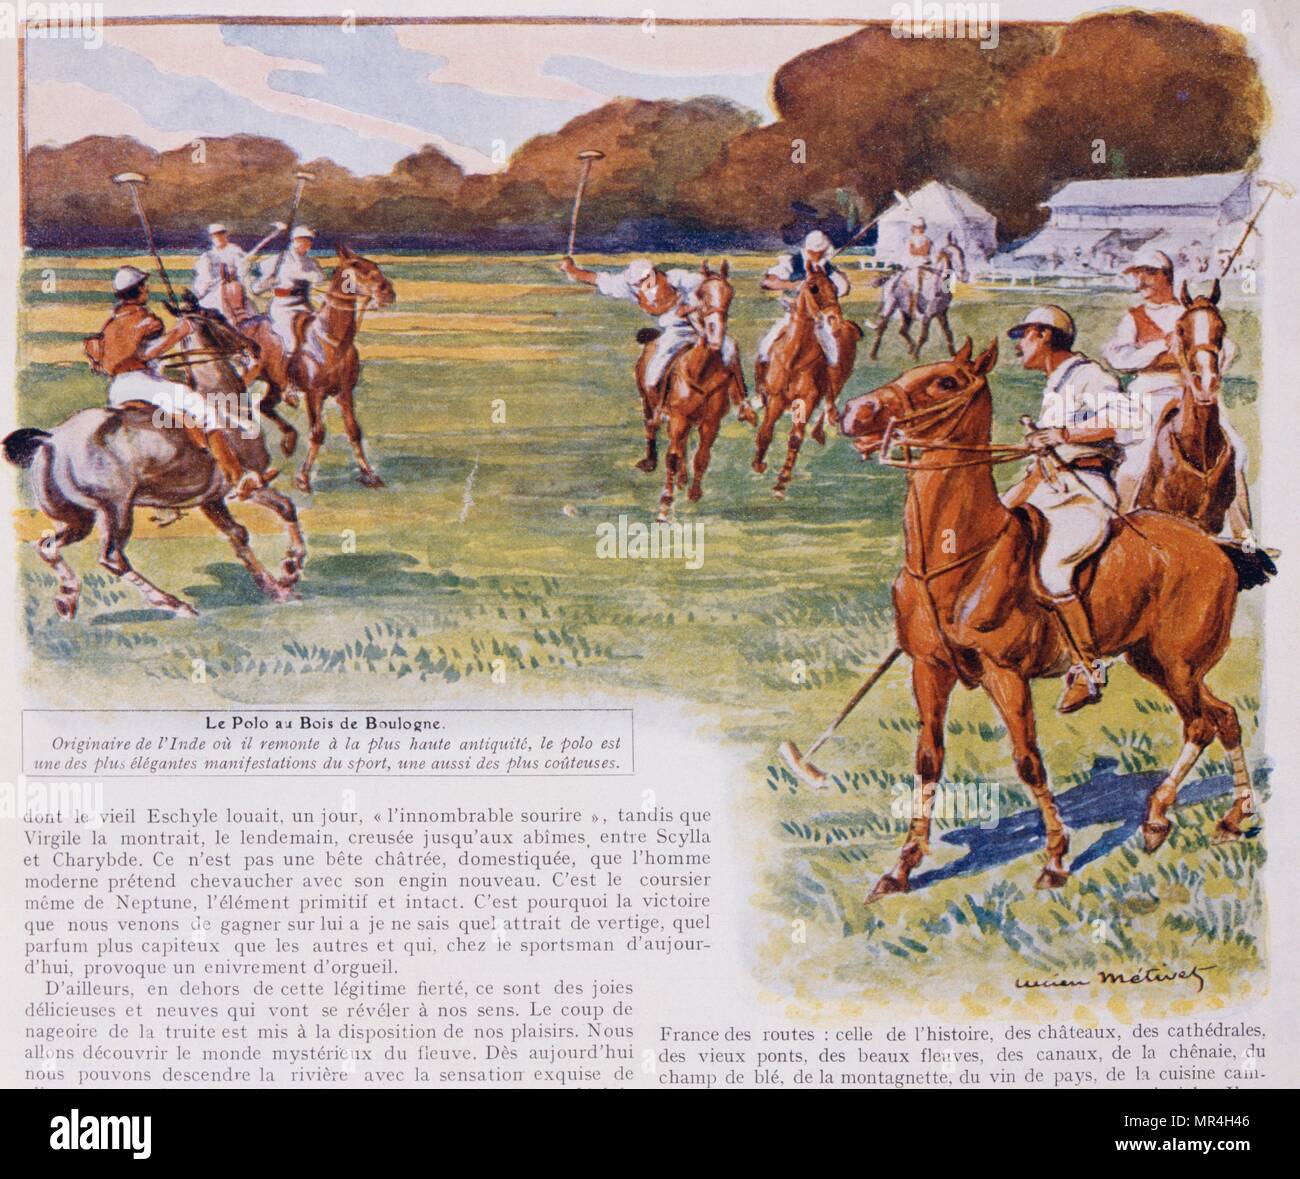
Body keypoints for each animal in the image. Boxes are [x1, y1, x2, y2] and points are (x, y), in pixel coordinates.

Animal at [5, 304, 304, 618]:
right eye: (219, 319)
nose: (254, 347)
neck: (224, 403)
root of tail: (51, 440)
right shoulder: (249, 484)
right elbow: (285, 507)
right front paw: (292, 567)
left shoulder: (210, 499)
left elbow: (239, 535)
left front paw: (276, 587)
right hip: (116, 509)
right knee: (112, 557)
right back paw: (174, 604)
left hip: (78, 517)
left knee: (47, 545)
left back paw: (67, 597)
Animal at [220, 244, 392, 493]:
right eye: (356, 266)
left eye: (374, 265)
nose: (388, 292)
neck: (333, 341)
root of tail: (243, 323)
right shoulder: (314, 394)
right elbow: (317, 433)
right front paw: (302, 478)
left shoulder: (344, 393)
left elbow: (353, 431)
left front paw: (369, 474)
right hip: (246, 375)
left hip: (275, 383)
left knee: (264, 405)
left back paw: (289, 441)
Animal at [642, 262, 743, 519]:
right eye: (702, 295)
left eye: (730, 294)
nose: (716, 334)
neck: (701, 371)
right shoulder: (677, 417)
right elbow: (672, 458)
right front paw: (665, 503)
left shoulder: (710, 422)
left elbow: (702, 457)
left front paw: (694, 492)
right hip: (648, 402)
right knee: (651, 428)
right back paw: (650, 462)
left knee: (684, 445)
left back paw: (683, 479)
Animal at [754, 270, 863, 499]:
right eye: (813, 287)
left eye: (834, 287)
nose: (834, 319)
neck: (794, 358)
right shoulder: (776, 398)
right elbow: (766, 431)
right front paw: (758, 464)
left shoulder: (806, 400)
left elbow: (795, 438)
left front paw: (781, 482)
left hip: (840, 377)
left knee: (831, 399)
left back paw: (822, 429)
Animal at [842, 340, 1258, 904]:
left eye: (946, 381)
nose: (854, 412)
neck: (956, 558)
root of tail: (1216, 546)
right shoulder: (928, 669)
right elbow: (928, 758)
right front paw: (901, 867)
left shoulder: (1005, 674)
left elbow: (1028, 760)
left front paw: (1057, 859)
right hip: (1154, 660)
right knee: (1219, 718)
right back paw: (1204, 817)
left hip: (1179, 663)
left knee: (1208, 721)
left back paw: (1188, 817)